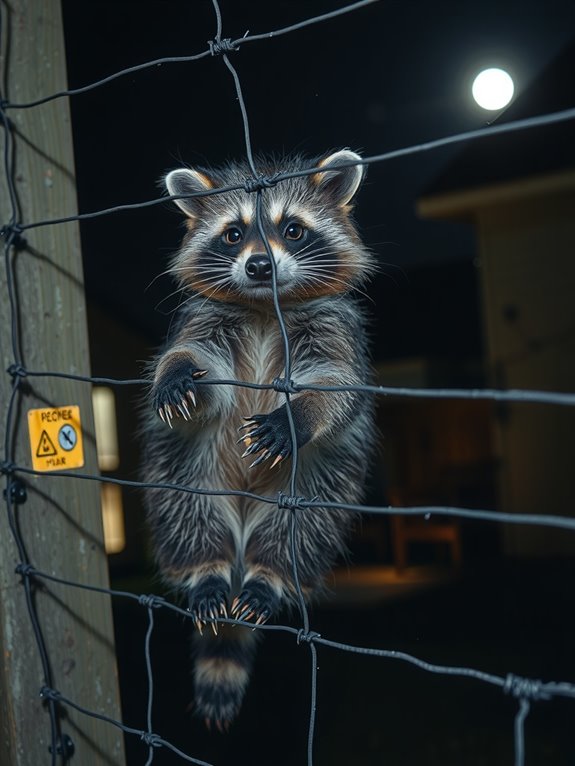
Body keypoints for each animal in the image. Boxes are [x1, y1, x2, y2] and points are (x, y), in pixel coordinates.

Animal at [142, 149, 376, 728]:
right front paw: (175, 375)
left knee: (302, 531)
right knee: (187, 514)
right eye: (233, 234)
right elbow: (190, 358)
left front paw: (297, 417)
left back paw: (267, 579)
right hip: (180, 472)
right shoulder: (206, 321)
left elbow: (338, 387)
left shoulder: (337, 330)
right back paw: (206, 573)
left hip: (321, 488)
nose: (259, 267)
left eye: (293, 230)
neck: (266, 307)